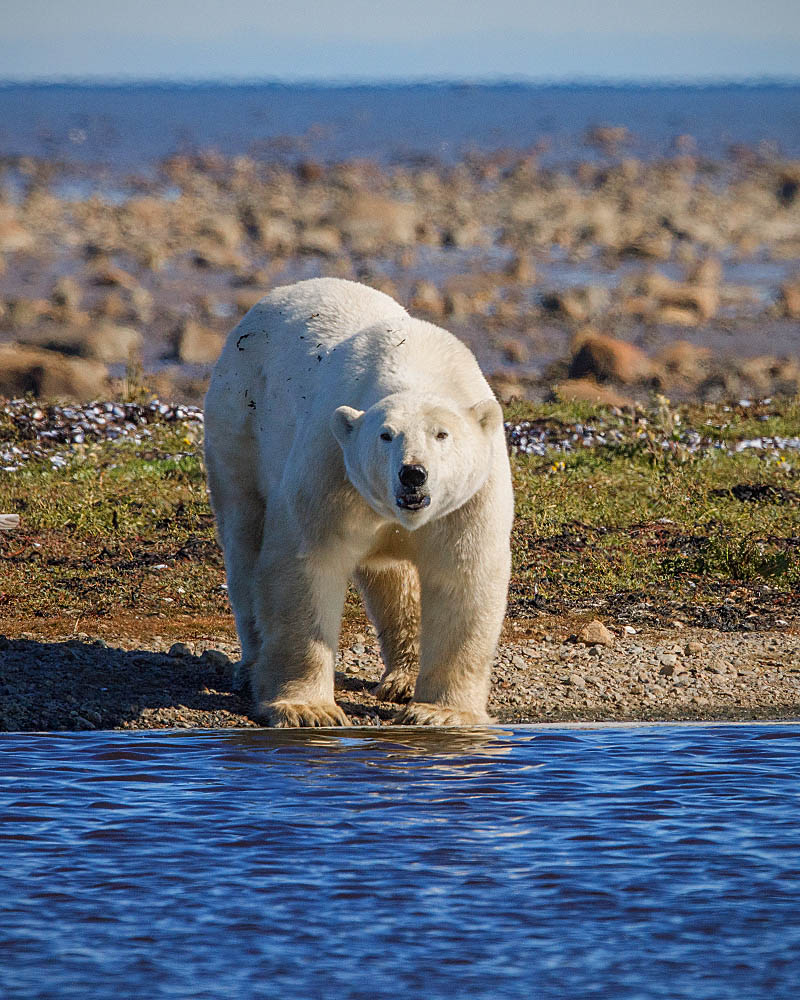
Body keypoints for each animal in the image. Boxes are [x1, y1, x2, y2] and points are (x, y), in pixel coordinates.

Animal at [205, 276, 512, 728]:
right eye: (386, 435)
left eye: (442, 434)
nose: (412, 474)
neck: (415, 363)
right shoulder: (331, 467)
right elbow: (307, 567)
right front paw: (307, 709)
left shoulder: (469, 500)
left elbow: (463, 578)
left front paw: (440, 713)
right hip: (238, 421)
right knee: (245, 540)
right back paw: (251, 666)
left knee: (395, 579)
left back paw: (401, 680)